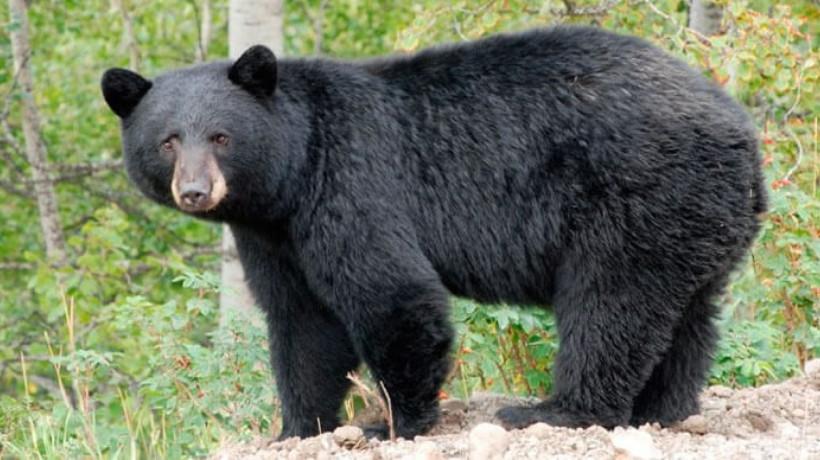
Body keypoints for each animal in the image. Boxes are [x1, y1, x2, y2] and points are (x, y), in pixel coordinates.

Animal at [101, 25, 766, 440]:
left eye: (221, 136)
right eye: (167, 141)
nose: (195, 191)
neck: (292, 175)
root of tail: (741, 131)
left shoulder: (352, 184)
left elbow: (392, 293)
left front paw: (391, 422)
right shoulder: (274, 236)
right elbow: (301, 322)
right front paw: (297, 427)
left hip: (636, 196)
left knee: (610, 304)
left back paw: (558, 411)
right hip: (694, 215)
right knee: (688, 316)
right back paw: (663, 409)